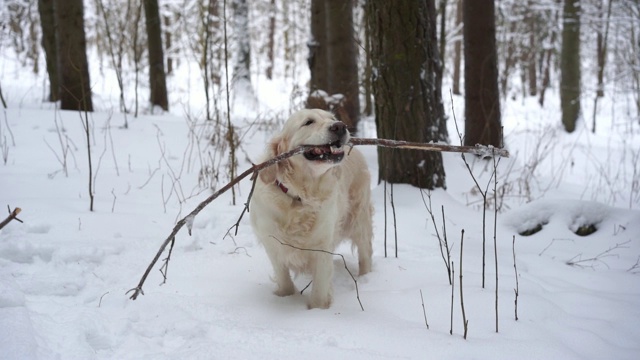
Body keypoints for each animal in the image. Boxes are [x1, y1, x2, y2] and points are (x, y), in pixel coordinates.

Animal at [249, 108, 372, 308]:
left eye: (332, 118)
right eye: (308, 122)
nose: (340, 126)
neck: (300, 196)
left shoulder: (322, 246)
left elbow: (320, 290)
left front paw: (317, 310)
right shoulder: (272, 244)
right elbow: (283, 279)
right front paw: (286, 297)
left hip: (359, 218)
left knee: (365, 253)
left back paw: (366, 279)